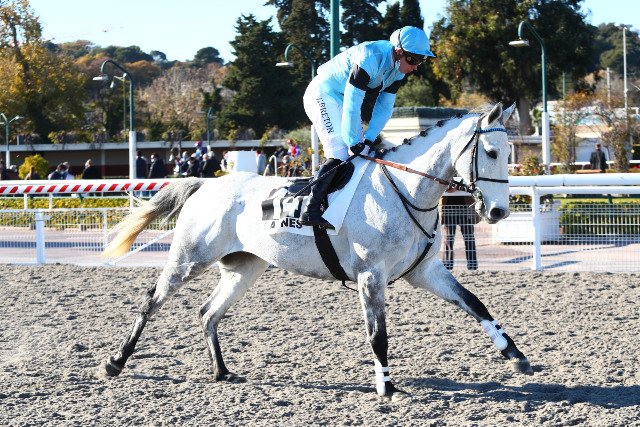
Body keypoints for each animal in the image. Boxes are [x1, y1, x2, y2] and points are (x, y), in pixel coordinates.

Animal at [102, 103, 532, 400]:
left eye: (509, 152)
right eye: (491, 152)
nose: (498, 211)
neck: (404, 191)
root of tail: (205, 183)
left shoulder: (424, 270)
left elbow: (475, 303)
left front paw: (516, 355)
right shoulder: (371, 275)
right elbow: (378, 335)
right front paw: (387, 387)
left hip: (244, 267)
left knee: (208, 312)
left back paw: (222, 371)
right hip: (190, 258)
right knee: (151, 301)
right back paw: (115, 361)